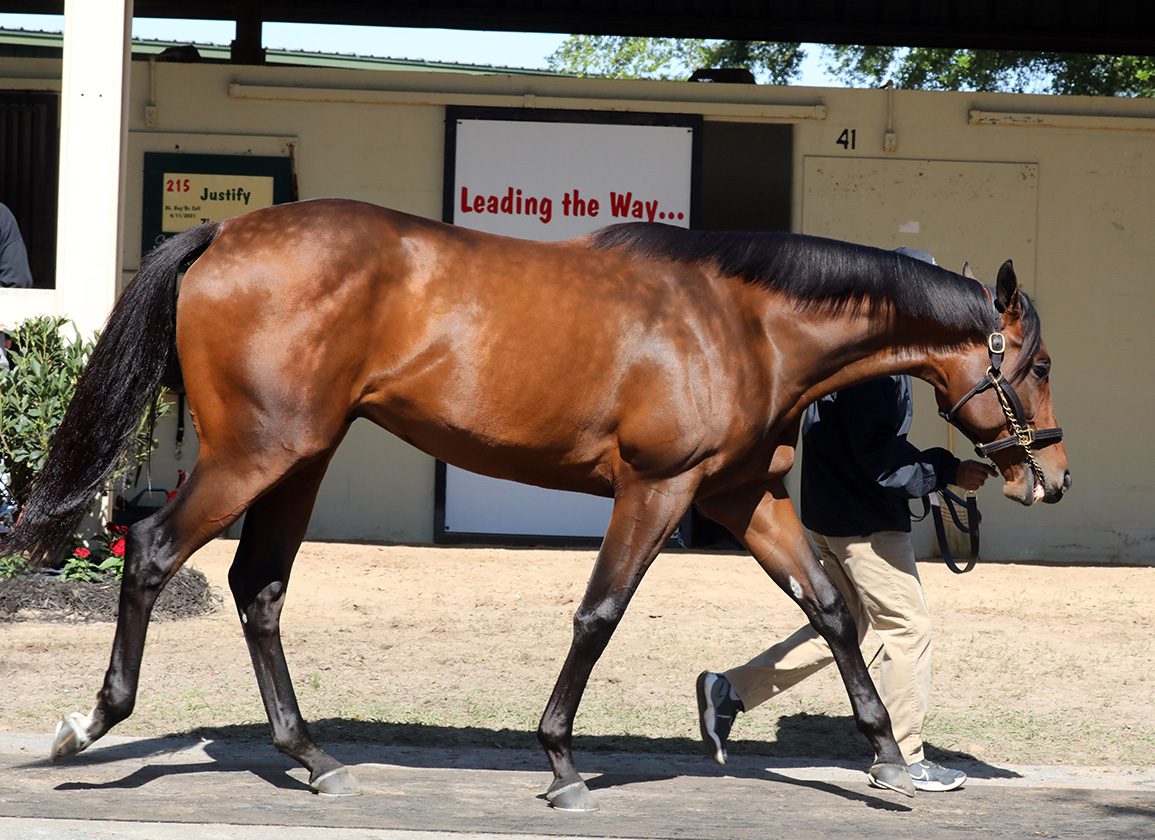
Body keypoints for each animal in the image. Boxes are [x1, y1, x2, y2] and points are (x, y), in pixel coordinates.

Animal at [2, 199, 1062, 813]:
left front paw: (888, 762)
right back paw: (88, 726)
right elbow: (599, 613)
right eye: (1040, 363)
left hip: (298, 459)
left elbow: (834, 611)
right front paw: (559, 763)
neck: (740, 324)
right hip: (253, 455)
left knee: (257, 589)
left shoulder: (741, 495)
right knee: (150, 553)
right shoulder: (658, 485)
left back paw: (313, 757)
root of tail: (225, 232)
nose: (1046, 479)